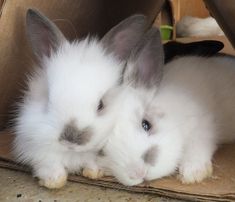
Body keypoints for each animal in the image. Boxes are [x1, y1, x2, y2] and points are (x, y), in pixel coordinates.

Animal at [12, 8, 148, 189]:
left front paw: (94, 172)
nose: (71, 139)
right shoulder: (36, 148)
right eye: (48, 100)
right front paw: (54, 181)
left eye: (101, 105)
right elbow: (49, 163)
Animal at [96, 27, 235, 186]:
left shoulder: (203, 125)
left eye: (146, 124)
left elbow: (198, 145)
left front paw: (192, 174)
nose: (139, 173)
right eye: (101, 150)